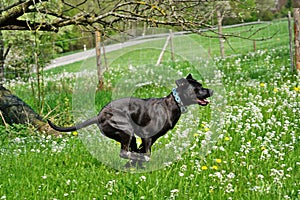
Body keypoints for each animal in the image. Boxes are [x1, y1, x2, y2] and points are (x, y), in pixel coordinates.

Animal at [48, 74, 213, 163]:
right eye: (198, 88)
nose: (211, 90)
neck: (174, 103)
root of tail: (99, 115)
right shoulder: (147, 136)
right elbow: (146, 153)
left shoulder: (149, 139)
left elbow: (142, 151)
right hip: (126, 130)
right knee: (124, 153)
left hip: (130, 136)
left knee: (129, 151)